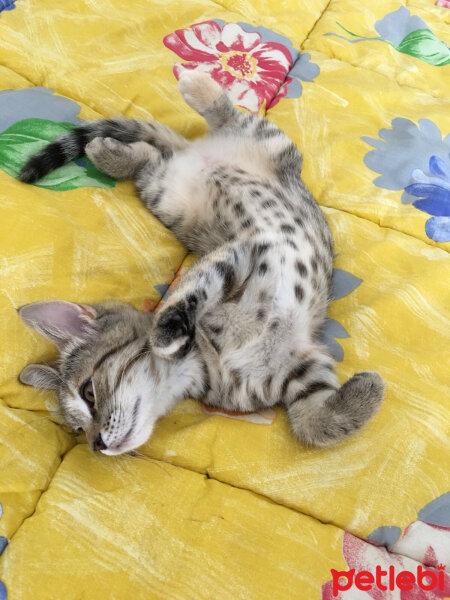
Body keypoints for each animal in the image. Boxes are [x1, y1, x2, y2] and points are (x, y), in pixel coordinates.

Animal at [17, 70, 384, 454]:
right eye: (77, 429)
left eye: (89, 392)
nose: (97, 444)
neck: (205, 362)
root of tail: (191, 151)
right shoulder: (298, 370)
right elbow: (315, 424)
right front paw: (368, 390)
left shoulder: (251, 253)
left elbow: (196, 287)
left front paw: (165, 334)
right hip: (162, 192)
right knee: (151, 157)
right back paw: (111, 152)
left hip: (270, 145)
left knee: (232, 118)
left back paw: (193, 90)